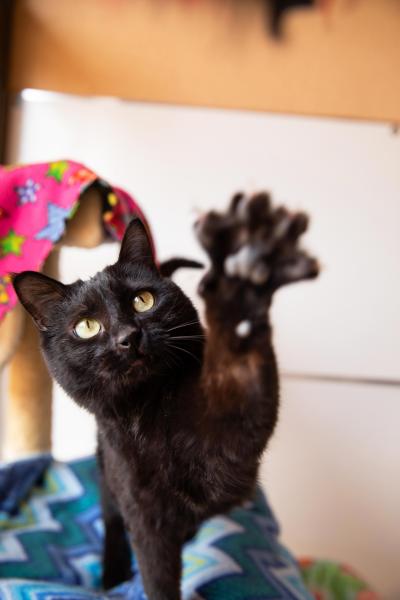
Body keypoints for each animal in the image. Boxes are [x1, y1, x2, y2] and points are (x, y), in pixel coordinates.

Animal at [13, 193, 318, 600]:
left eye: (143, 300)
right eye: (87, 326)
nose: (128, 337)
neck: (150, 415)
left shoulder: (234, 437)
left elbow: (239, 369)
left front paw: (243, 281)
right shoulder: (144, 514)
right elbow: (156, 577)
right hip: (105, 472)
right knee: (111, 521)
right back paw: (111, 576)